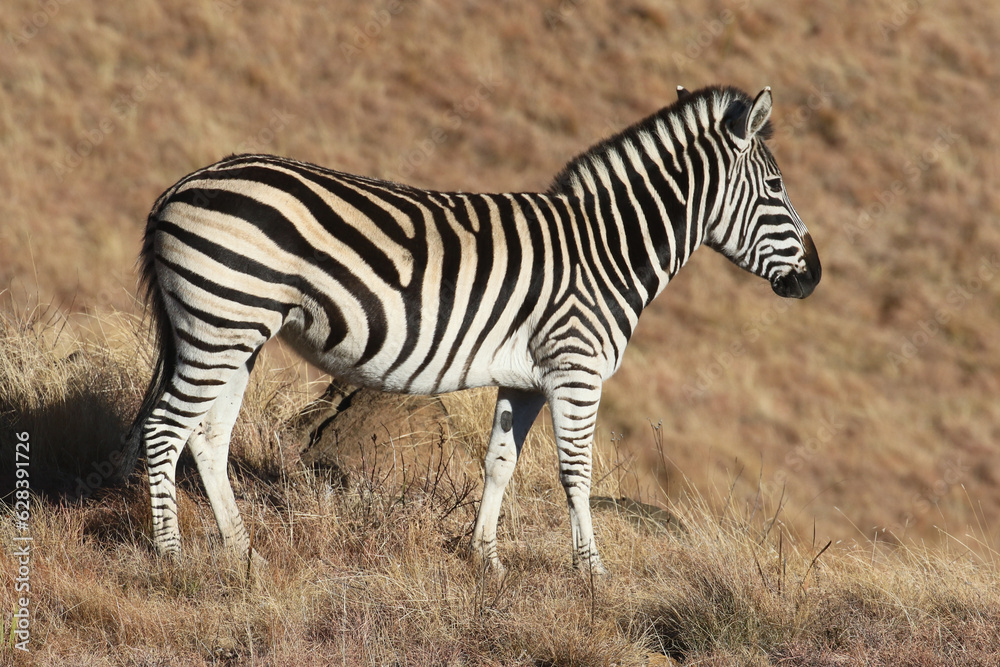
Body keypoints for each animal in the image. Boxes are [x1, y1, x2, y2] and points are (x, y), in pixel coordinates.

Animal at [119, 84, 820, 575]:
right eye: (776, 187)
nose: (814, 276)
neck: (607, 250)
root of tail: (179, 187)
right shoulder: (575, 367)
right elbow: (577, 471)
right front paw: (592, 575)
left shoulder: (526, 380)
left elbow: (499, 464)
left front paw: (487, 561)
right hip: (221, 321)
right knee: (165, 428)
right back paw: (170, 557)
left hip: (233, 332)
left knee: (207, 437)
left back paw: (244, 555)